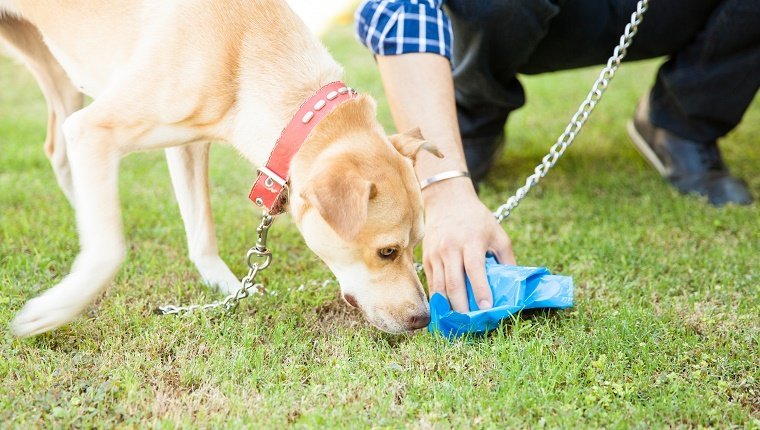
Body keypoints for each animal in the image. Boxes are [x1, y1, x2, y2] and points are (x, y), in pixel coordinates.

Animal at [1, 0, 440, 336]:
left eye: (418, 242)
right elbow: (109, 250)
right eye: (387, 251)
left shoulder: (188, 144)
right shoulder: (95, 130)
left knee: (58, 149)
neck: (243, 50)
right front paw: (57, 308)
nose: (423, 319)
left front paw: (226, 286)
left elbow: (202, 229)